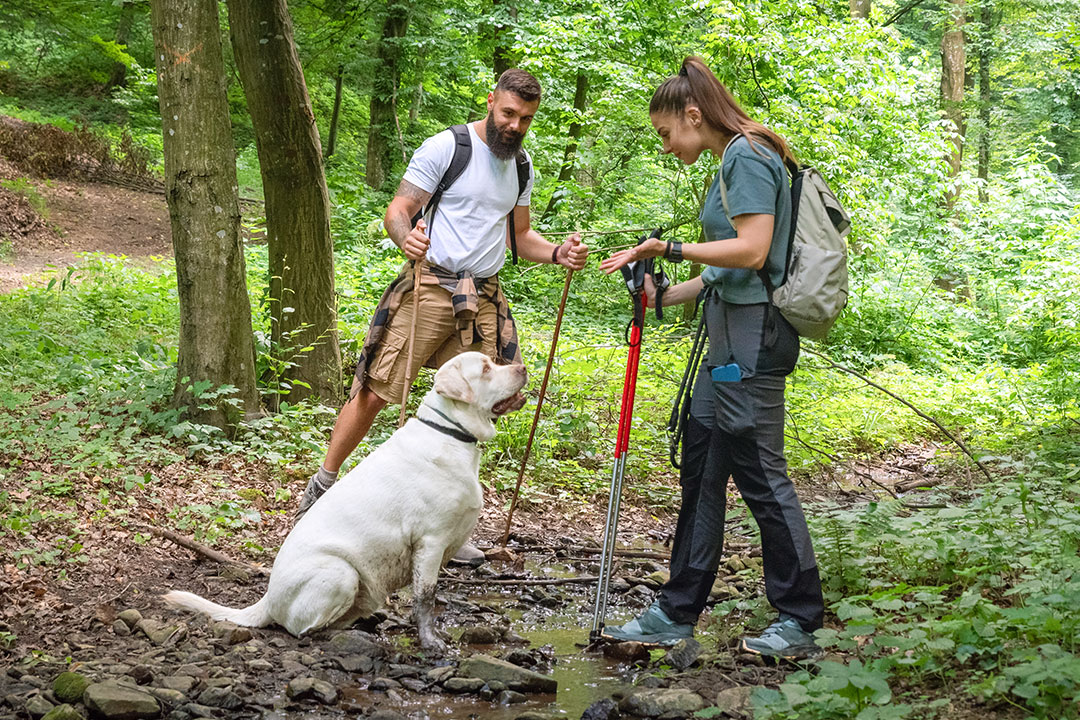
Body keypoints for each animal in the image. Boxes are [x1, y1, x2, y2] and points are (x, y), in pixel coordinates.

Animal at [163, 354, 527, 651]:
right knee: (302, 630)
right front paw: (430, 641)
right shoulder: (430, 542)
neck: (450, 431)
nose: (523, 368)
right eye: (485, 368)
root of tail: (266, 600)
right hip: (341, 572)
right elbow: (425, 598)